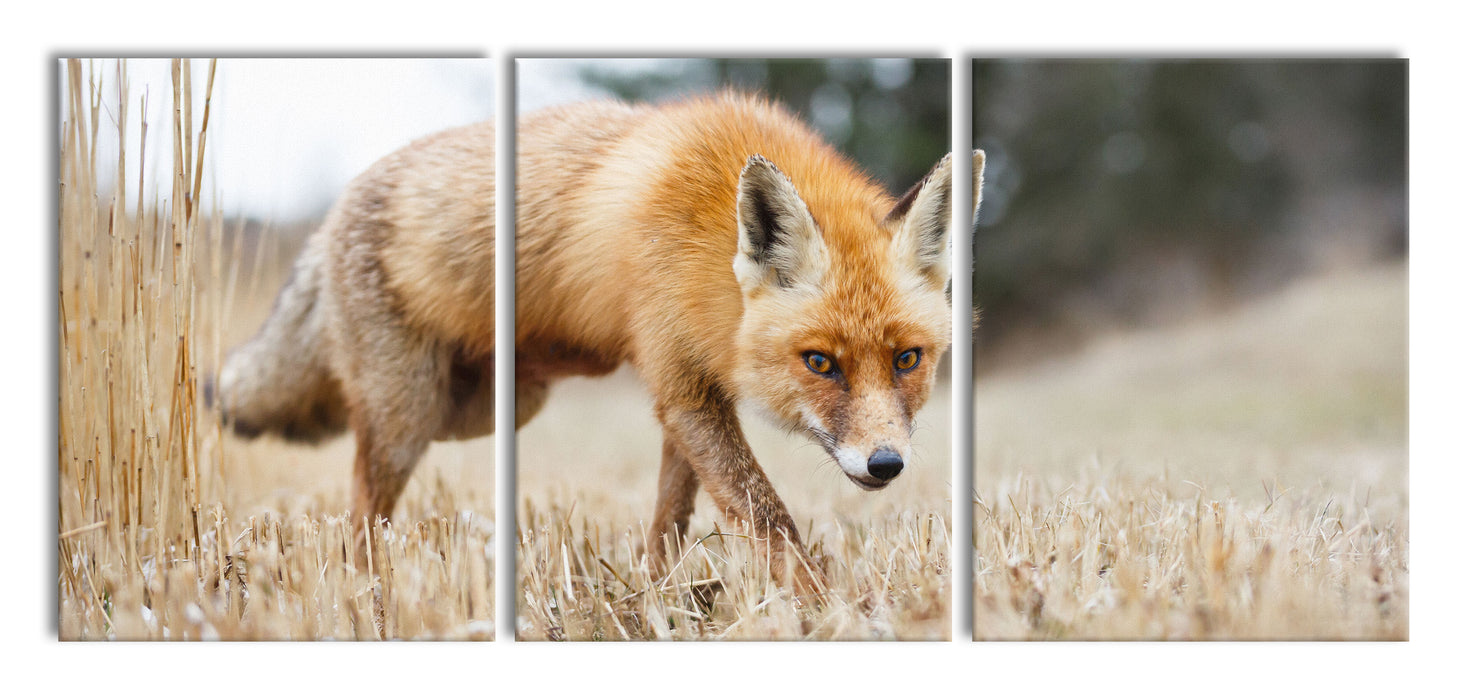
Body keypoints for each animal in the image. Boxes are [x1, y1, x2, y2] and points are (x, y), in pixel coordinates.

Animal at [212, 92, 980, 592]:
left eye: (907, 359)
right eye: (820, 362)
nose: (885, 464)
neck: (707, 238)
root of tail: (330, 215)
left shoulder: (689, 392)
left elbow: (673, 517)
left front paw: (655, 594)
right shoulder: (683, 386)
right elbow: (765, 516)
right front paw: (819, 608)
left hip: (487, 406)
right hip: (410, 417)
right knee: (361, 500)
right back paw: (363, 587)